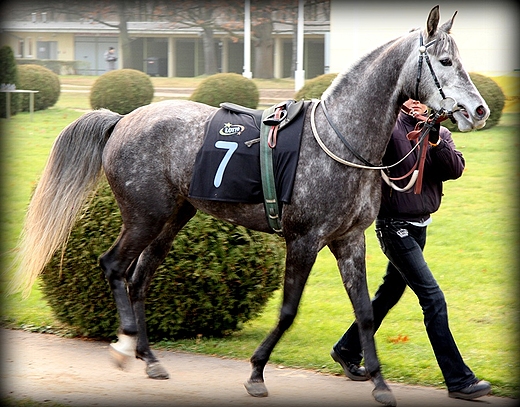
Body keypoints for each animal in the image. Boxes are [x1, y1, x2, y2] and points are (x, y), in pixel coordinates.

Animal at [12, 6, 488, 407]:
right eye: (446, 62)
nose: (479, 109)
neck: (338, 140)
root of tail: (122, 119)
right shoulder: (305, 240)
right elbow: (289, 310)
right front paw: (257, 371)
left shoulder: (349, 240)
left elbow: (366, 313)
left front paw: (379, 383)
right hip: (144, 215)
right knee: (114, 265)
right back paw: (126, 344)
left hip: (174, 217)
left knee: (139, 277)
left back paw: (151, 359)